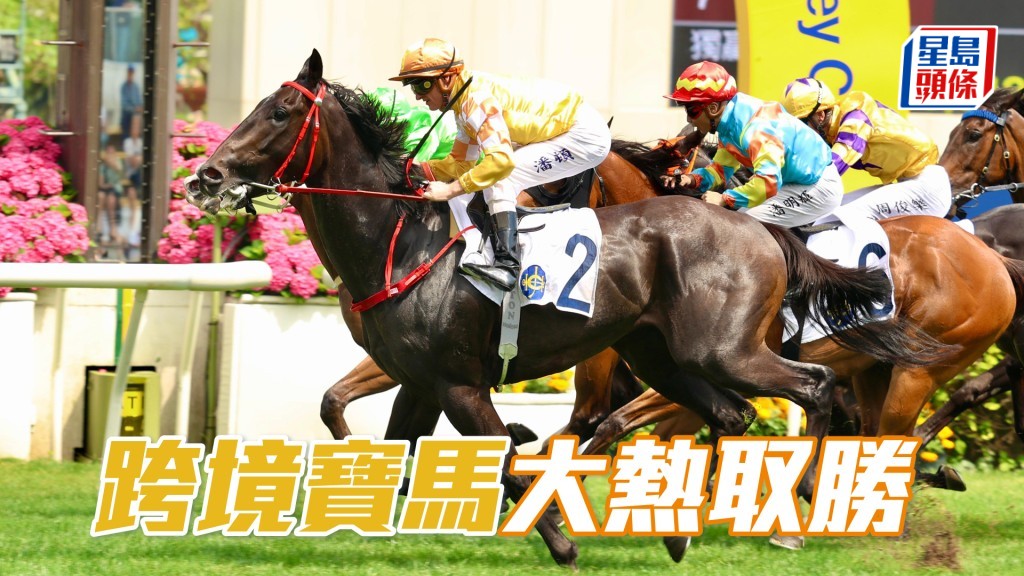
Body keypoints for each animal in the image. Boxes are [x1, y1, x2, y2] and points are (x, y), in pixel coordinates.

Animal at [187, 49, 946, 568]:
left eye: (279, 113)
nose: (205, 175)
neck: (398, 242)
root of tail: (758, 227)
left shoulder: (460, 384)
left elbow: (502, 457)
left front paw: (558, 538)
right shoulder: (422, 380)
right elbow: (403, 461)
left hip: (722, 349)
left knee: (813, 388)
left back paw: (797, 506)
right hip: (660, 355)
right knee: (731, 414)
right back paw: (681, 532)